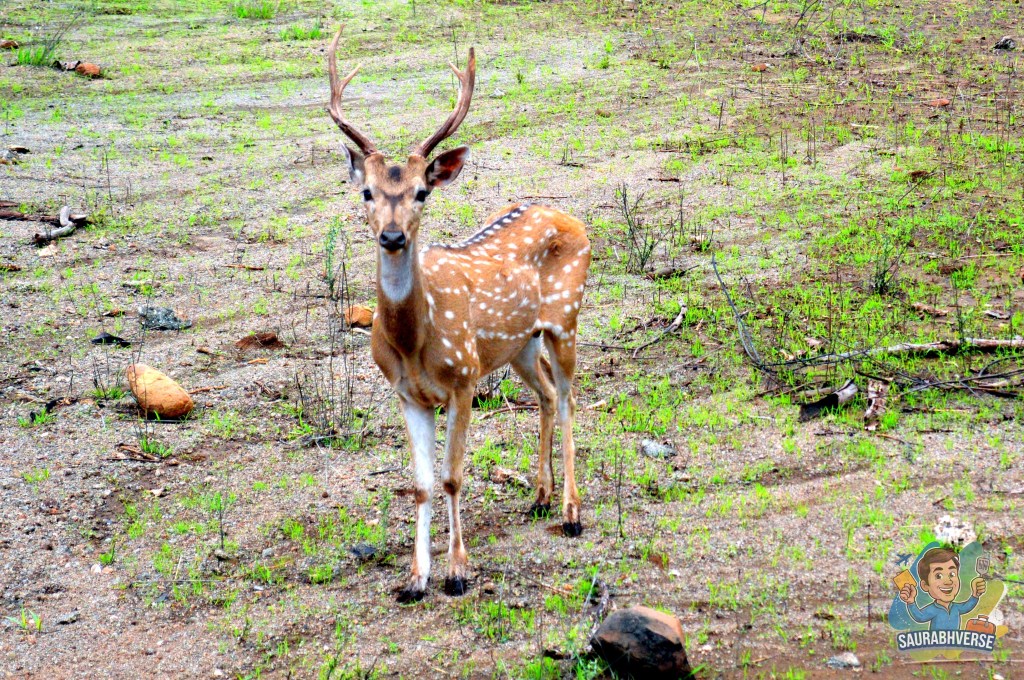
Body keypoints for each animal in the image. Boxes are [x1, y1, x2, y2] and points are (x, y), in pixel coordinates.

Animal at [325, 26, 591, 602]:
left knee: (569, 398)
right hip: (518, 344)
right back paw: (539, 495)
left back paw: (571, 511)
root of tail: (569, 216)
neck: (413, 342)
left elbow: (452, 476)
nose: (393, 236)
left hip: (565, 319)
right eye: (367, 192)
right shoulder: (407, 393)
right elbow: (421, 484)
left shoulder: (465, 378)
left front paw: (457, 571)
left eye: (422, 191)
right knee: (546, 393)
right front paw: (414, 577)